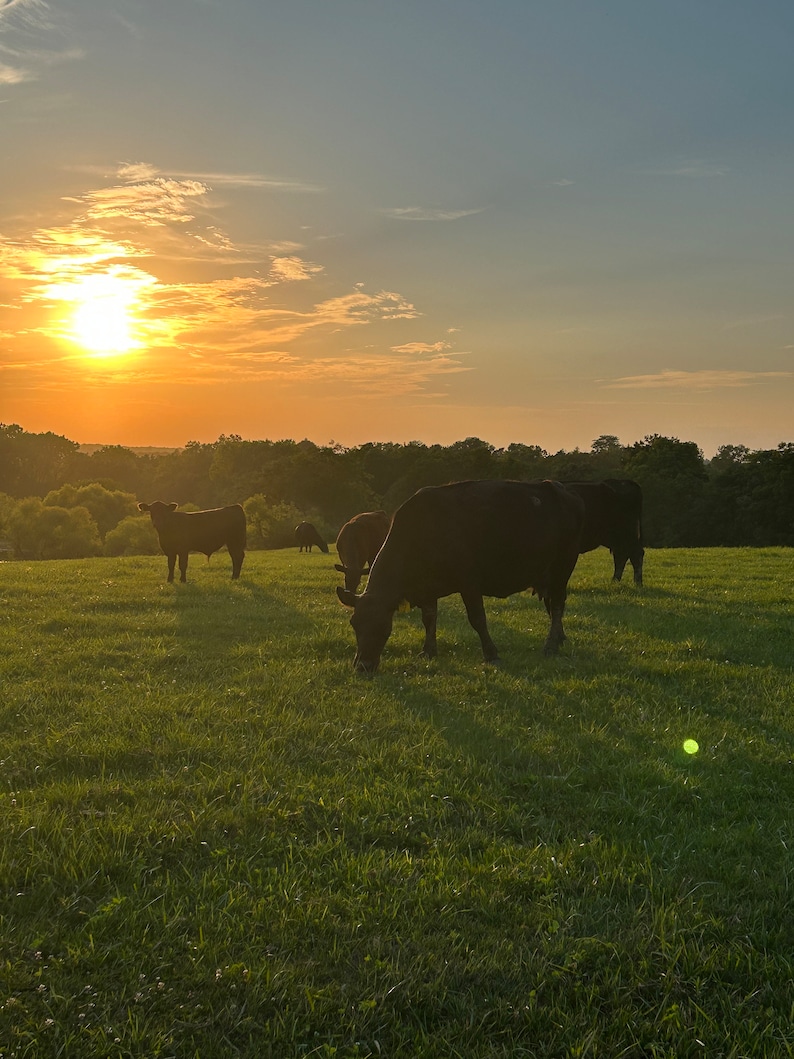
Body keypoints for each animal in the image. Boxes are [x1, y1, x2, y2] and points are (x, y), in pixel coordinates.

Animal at [336, 478, 584, 669]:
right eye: (354, 623)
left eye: (383, 626)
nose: (362, 666)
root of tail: (560, 490)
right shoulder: (428, 589)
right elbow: (429, 618)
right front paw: (428, 650)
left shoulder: (470, 583)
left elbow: (478, 619)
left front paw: (491, 654)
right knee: (553, 603)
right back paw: (560, 638)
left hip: (563, 565)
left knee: (558, 604)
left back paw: (551, 645)